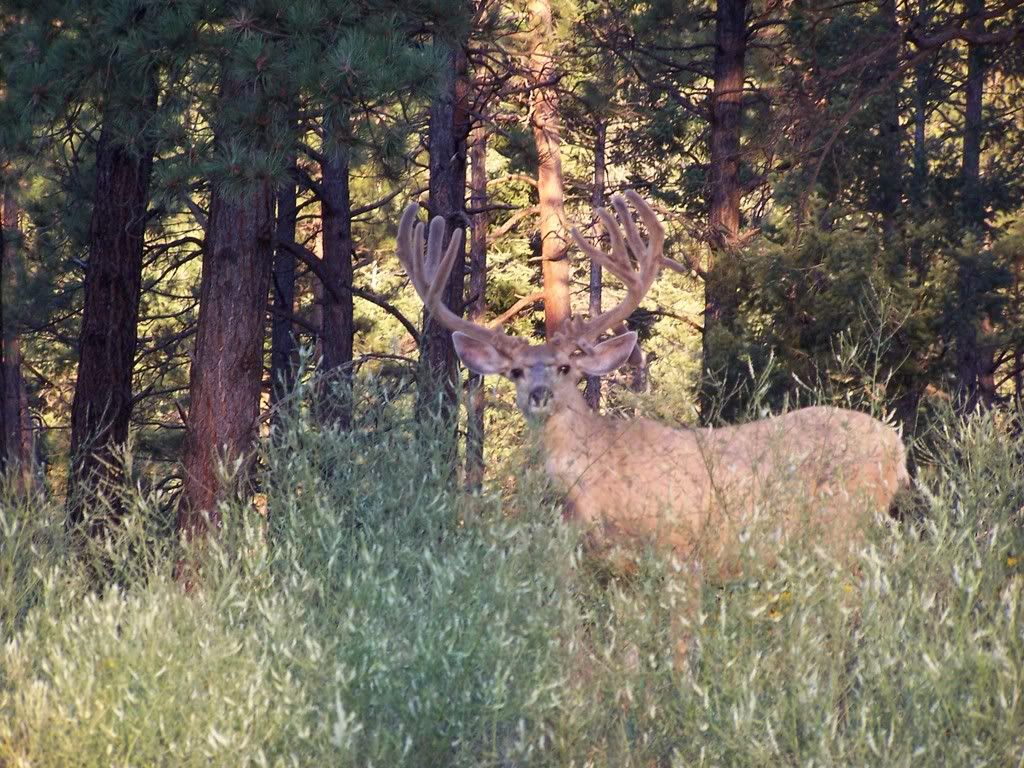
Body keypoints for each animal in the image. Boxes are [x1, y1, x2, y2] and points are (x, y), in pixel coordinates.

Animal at [395, 189, 909, 581]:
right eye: (517, 371)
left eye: (566, 367)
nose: (540, 395)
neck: (597, 491)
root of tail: (896, 446)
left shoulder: (681, 551)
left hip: (845, 526)